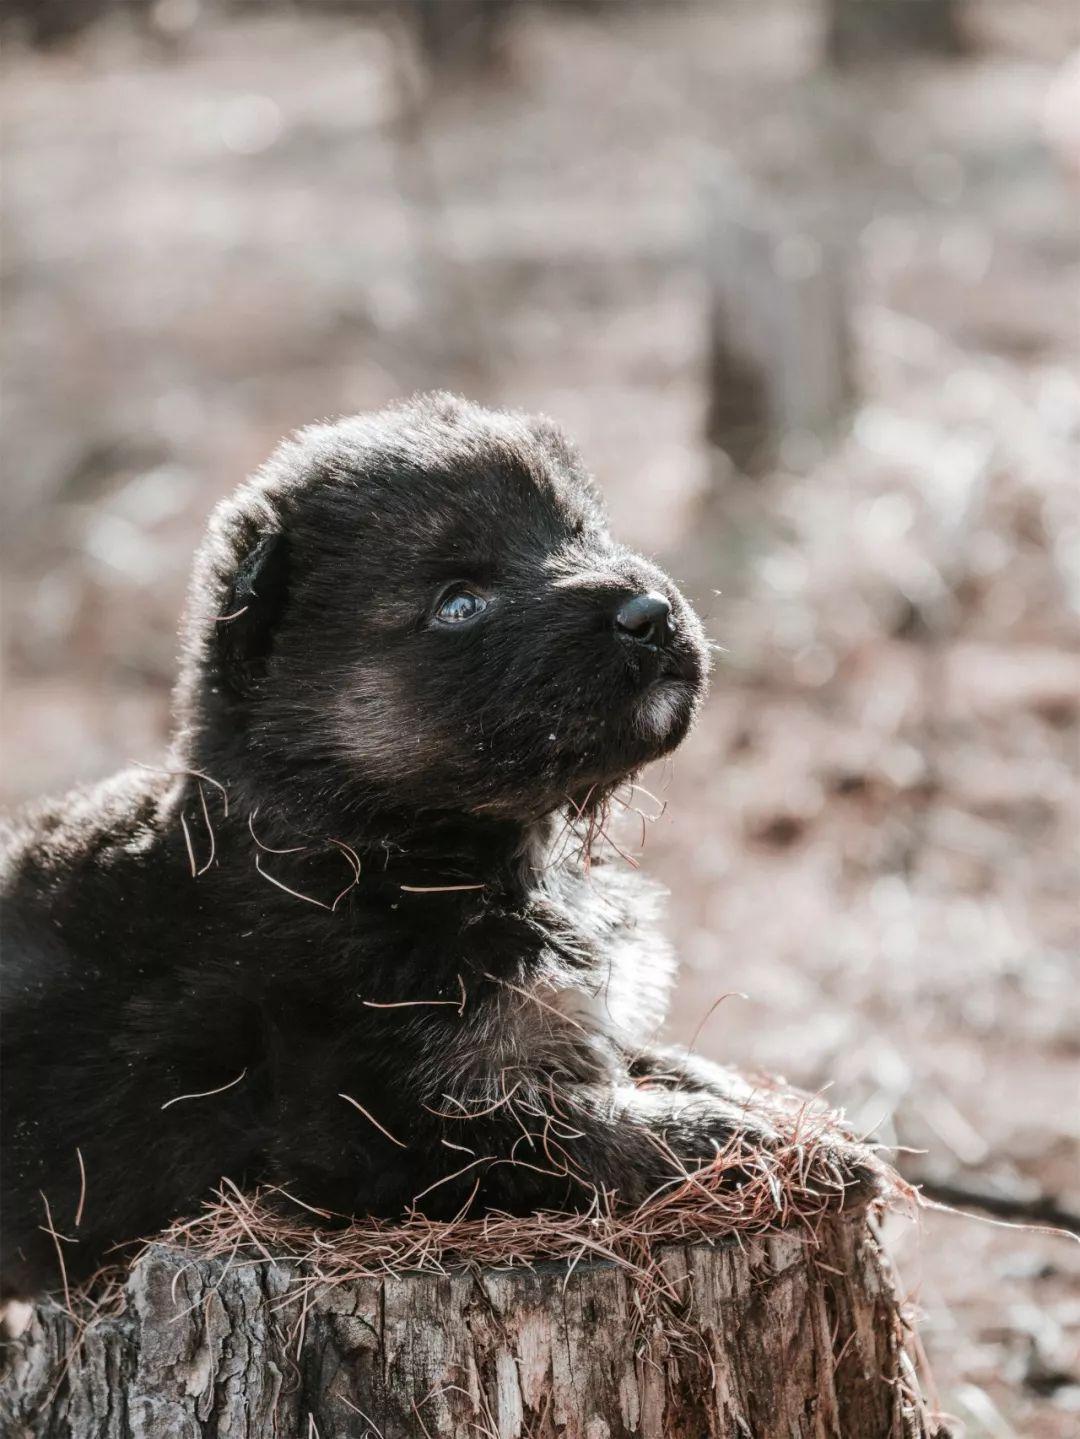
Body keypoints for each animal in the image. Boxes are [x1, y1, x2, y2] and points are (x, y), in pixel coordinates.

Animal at [0, 397, 868, 1306]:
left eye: (580, 531)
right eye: (459, 603)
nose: (649, 612)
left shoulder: (551, 1026)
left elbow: (642, 1060)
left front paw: (786, 1118)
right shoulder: (367, 1124)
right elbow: (562, 1128)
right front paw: (752, 1146)